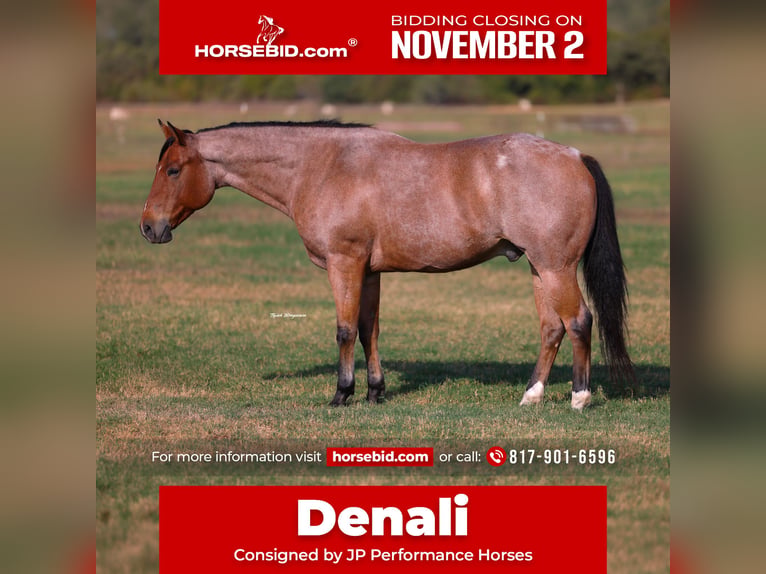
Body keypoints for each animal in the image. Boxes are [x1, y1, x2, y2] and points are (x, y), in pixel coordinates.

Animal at [141, 119, 634, 410]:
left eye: (172, 170)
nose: (148, 227)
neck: (322, 166)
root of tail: (575, 156)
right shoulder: (370, 270)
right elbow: (367, 330)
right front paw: (375, 391)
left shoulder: (344, 264)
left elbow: (343, 330)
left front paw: (342, 394)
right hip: (539, 268)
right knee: (552, 328)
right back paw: (531, 396)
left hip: (555, 267)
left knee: (579, 321)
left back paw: (579, 397)